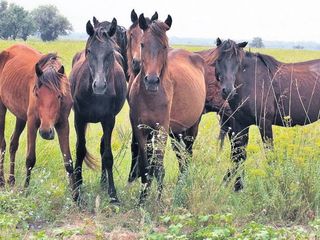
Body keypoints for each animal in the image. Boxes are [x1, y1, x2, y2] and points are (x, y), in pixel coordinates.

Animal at [0, 44, 75, 195]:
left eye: (59, 95)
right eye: (36, 94)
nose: (46, 132)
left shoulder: (63, 124)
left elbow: (68, 162)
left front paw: (76, 196)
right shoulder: (32, 123)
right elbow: (30, 159)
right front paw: (25, 190)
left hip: (20, 116)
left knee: (13, 144)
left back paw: (11, 180)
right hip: (2, 108)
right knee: (3, 144)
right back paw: (2, 182)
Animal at [69, 17, 126, 203]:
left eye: (110, 53)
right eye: (89, 51)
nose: (99, 86)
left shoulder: (109, 120)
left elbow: (107, 155)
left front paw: (112, 193)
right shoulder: (79, 118)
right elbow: (80, 150)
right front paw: (77, 190)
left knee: (102, 147)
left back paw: (103, 181)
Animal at [129, 14, 206, 203]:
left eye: (164, 45)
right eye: (143, 44)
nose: (151, 81)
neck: (150, 97)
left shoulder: (161, 130)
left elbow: (158, 166)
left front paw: (157, 199)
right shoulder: (141, 129)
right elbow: (146, 165)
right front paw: (142, 199)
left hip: (192, 128)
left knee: (187, 157)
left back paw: (182, 186)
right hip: (175, 133)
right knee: (181, 158)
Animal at [212, 38, 320, 190]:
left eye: (238, 62)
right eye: (219, 59)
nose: (228, 91)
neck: (251, 82)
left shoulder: (264, 123)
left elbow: (269, 154)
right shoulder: (240, 124)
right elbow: (238, 155)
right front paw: (236, 187)